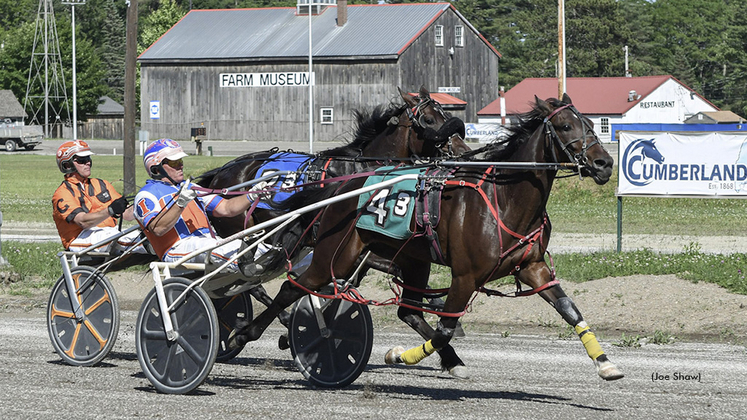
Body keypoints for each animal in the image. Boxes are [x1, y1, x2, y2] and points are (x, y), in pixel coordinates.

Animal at [229, 94, 624, 384]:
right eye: (565, 125)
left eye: (593, 124)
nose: (604, 164)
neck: (505, 199)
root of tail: (342, 188)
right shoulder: (464, 275)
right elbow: (445, 327)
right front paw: (400, 355)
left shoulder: (532, 267)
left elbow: (570, 309)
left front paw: (605, 363)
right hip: (334, 255)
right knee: (290, 288)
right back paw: (244, 333)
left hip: (410, 259)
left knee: (404, 309)